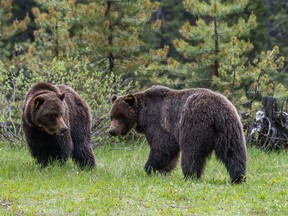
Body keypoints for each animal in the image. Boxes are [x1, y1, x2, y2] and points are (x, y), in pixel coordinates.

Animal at [109, 85, 246, 183]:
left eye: (120, 116)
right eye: (111, 116)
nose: (112, 131)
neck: (142, 115)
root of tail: (216, 112)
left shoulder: (157, 122)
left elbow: (163, 146)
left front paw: (150, 167)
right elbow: (170, 152)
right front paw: (163, 170)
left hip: (194, 123)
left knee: (192, 152)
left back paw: (189, 175)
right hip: (229, 127)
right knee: (233, 151)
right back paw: (238, 177)